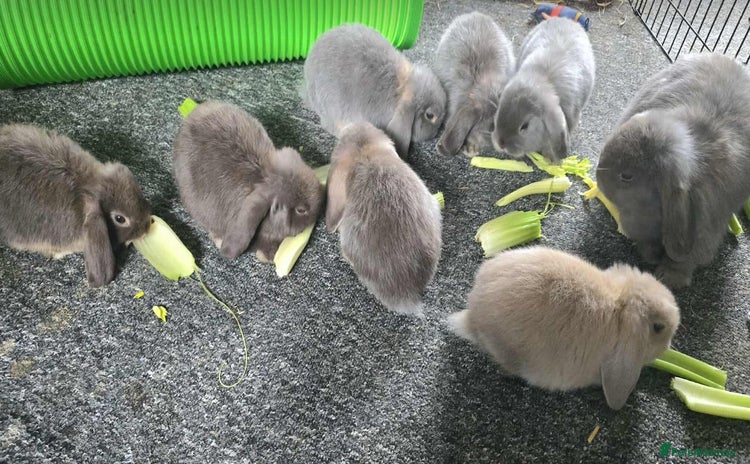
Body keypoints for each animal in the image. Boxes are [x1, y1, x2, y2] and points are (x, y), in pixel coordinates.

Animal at [492, 17, 595, 163]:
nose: (501, 144)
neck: (540, 80)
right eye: (499, 111)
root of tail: (564, 19)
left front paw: (550, 158)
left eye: (525, 126)